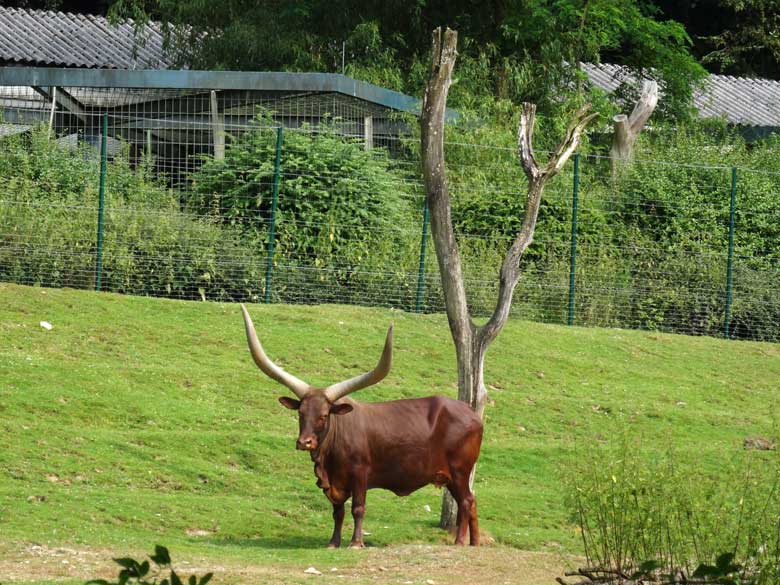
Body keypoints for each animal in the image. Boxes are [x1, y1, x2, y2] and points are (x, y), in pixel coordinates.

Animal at [239, 306, 482, 548]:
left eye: (324, 415)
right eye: (301, 413)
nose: (304, 442)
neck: (329, 456)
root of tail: (472, 413)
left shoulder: (360, 474)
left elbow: (358, 508)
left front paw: (355, 542)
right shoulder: (334, 484)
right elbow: (338, 513)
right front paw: (333, 542)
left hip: (460, 470)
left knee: (466, 501)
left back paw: (460, 541)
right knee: (471, 502)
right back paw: (474, 542)